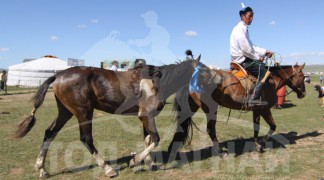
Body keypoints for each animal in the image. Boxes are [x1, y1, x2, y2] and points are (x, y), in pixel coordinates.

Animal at [15, 51, 218, 177]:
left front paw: (149, 163)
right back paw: (107, 169)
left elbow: (148, 139)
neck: (156, 83)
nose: (217, 82)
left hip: (65, 112)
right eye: (205, 71)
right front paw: (135, 161)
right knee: (86, 139)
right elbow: (155, 139)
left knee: (50, 133)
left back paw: (42, 169)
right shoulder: (146, 116)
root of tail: (58, 75)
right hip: (83, 112)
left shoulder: (145, 117)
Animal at [168, 63, 306, 156]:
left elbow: (257, 127)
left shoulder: (257, 110)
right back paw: (220, 152)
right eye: (302, 76)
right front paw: (260, 145)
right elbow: (272, 126)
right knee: (210, 129)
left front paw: (257, 143)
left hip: (192, 106)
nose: (303, 94)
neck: (271, 81)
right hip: (211, 108)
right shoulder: (265, 109)